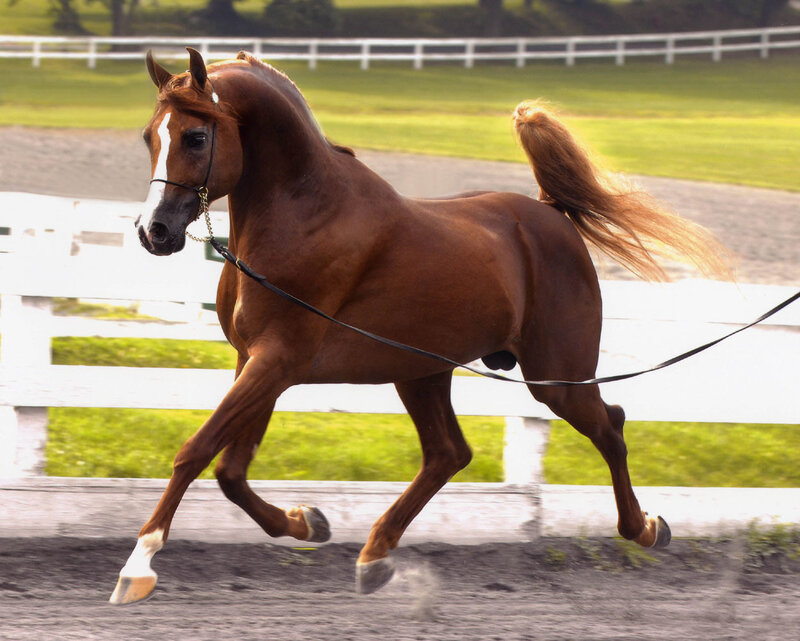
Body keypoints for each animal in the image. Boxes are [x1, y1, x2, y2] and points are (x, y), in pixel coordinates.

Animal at [110, 47, 731, 605]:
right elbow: (231, 471)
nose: (154, 231)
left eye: (196, 137)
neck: (303, 216)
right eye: (148, 136)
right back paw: (374, 556)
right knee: (448, 453)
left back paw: (646, 528)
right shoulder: (257, 361)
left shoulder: (277, 360)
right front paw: (309, 521)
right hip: (422, 371)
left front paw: (138, 568)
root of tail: (551, 215)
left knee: (611, 425)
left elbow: (196, 452)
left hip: (553, 380)